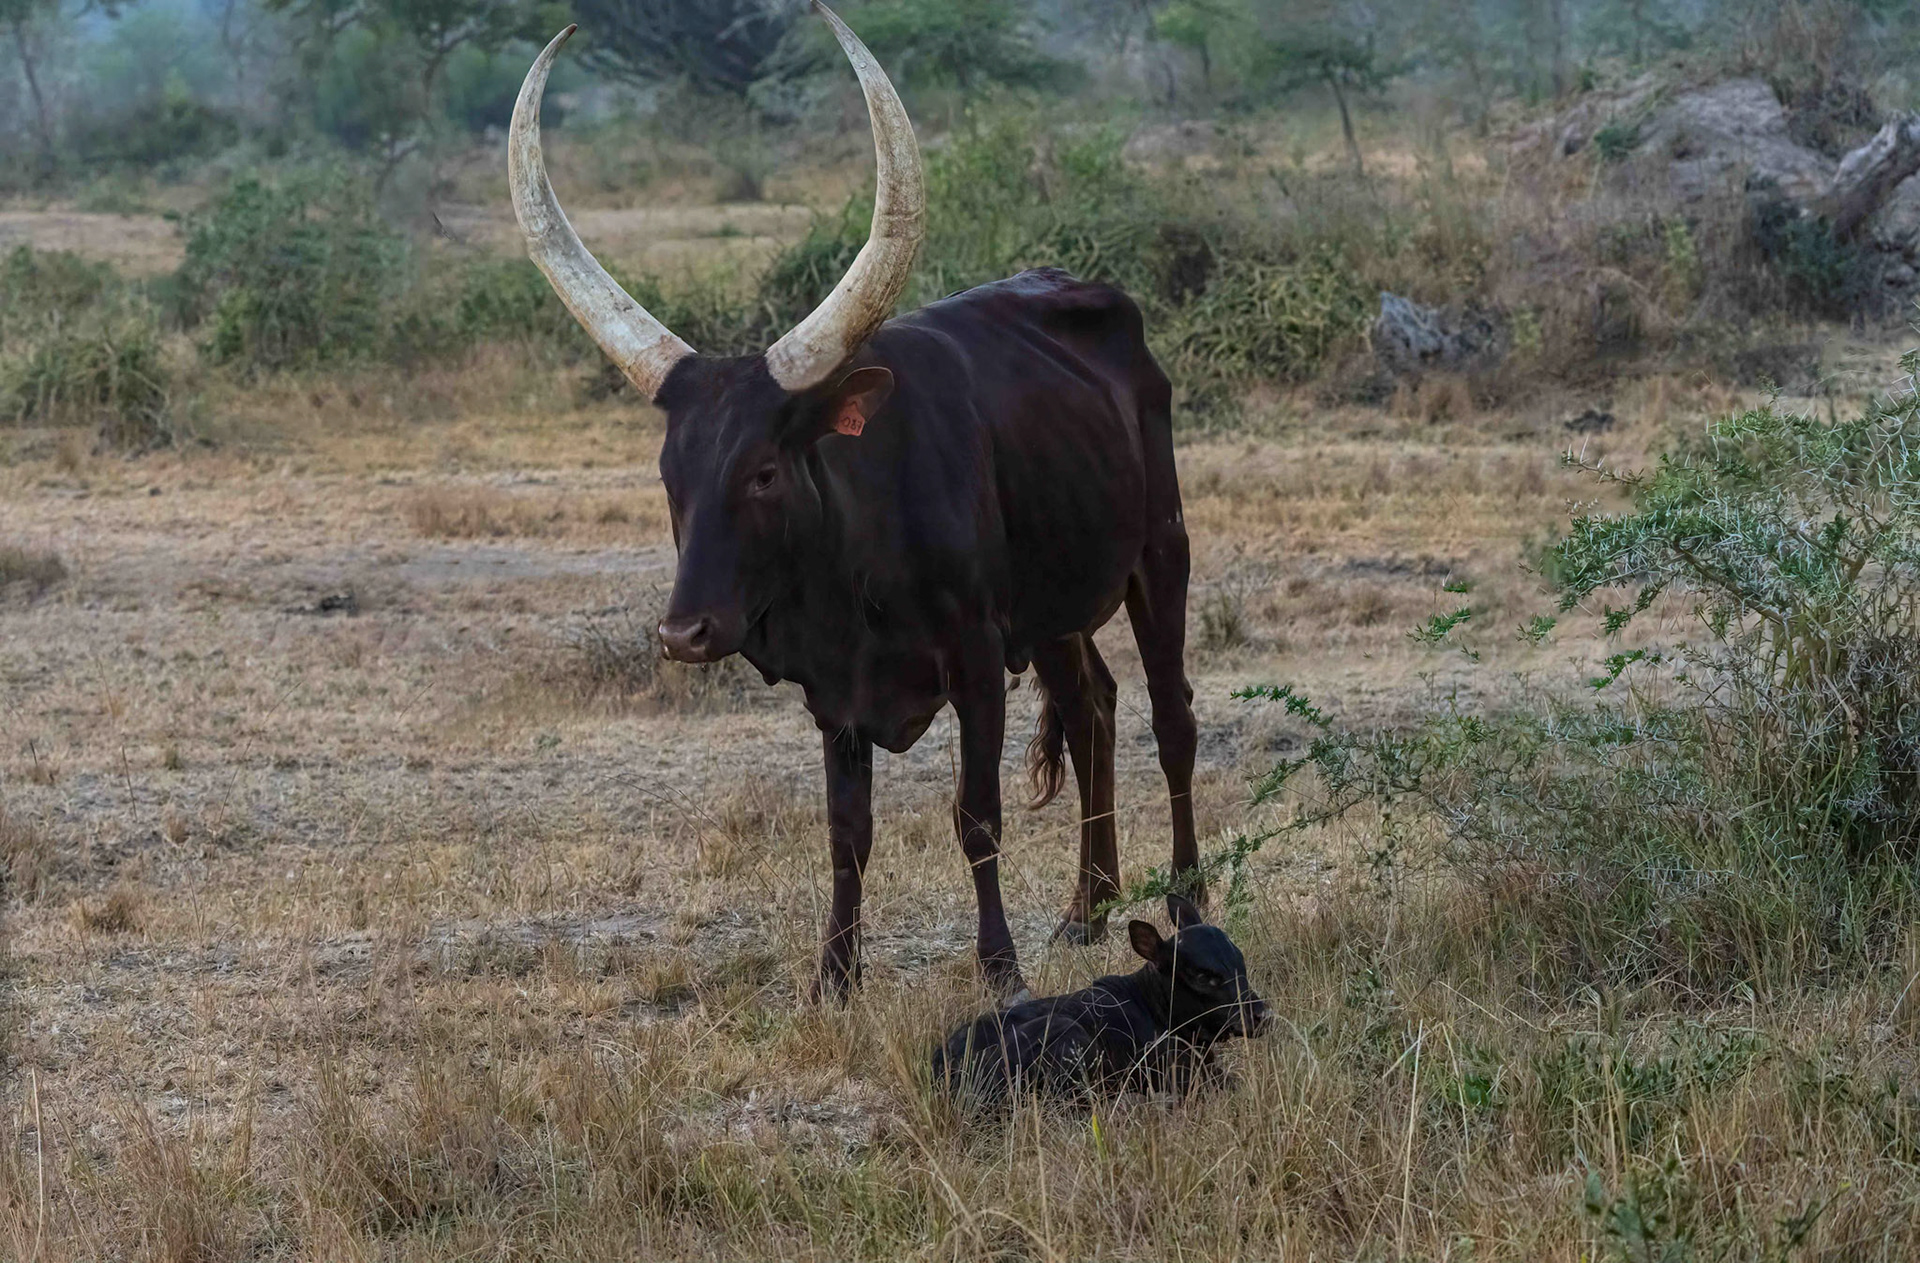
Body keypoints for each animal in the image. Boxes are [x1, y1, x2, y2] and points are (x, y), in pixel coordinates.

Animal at [508, 1, 1201, 998]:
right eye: (670, 474)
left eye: (764, 469)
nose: (684, 634)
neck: (854, 553)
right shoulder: (833, 692)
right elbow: (848, 831)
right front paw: (834, 974)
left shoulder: (976, 655)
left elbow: (976, 814)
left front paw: (1000, 969)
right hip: (1053, 604)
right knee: (1092, 710)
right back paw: (1087, 909)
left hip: (1159, 551)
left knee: (1172, 714)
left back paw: (1186, 898)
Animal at [931, 895, 1268, 1106]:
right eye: (1201, 975)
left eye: (1238, 958)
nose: (1260, 1014)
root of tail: (947, 1075)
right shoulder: (1174, 1067)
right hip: (1069, 1038)